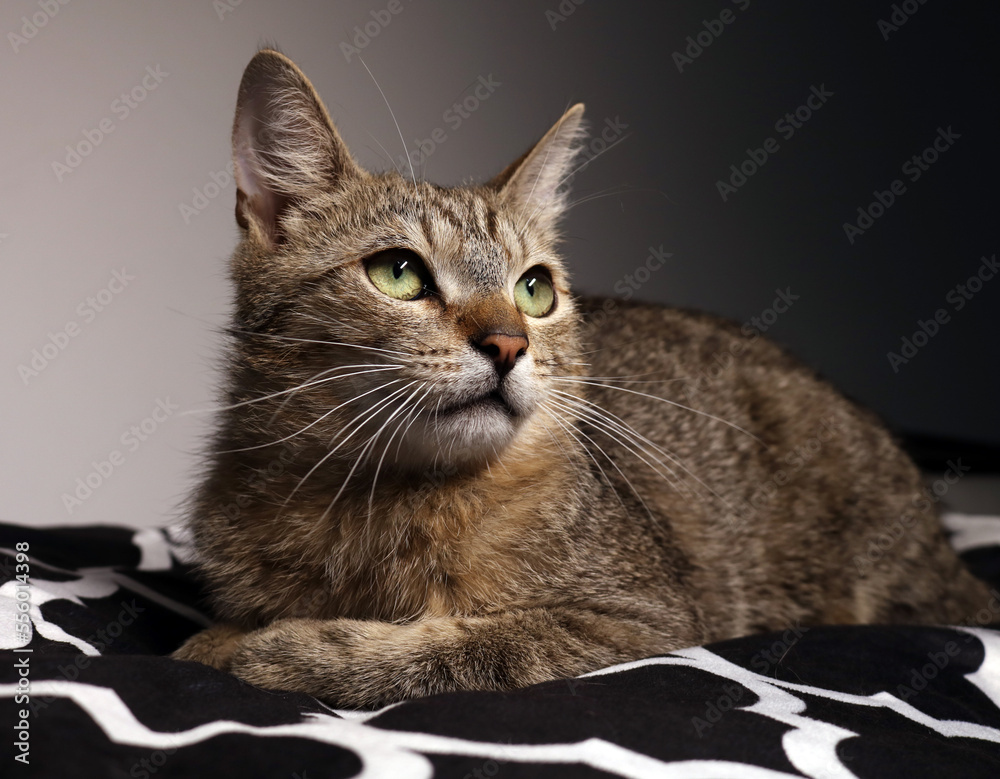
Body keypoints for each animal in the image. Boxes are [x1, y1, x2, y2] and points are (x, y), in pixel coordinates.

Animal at [174, 47, 992, 708]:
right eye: (398, 272)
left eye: (535, 289)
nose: (508, 343)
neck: (380, 503)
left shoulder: (643, 616)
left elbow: (475, 645)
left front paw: (284, 648)